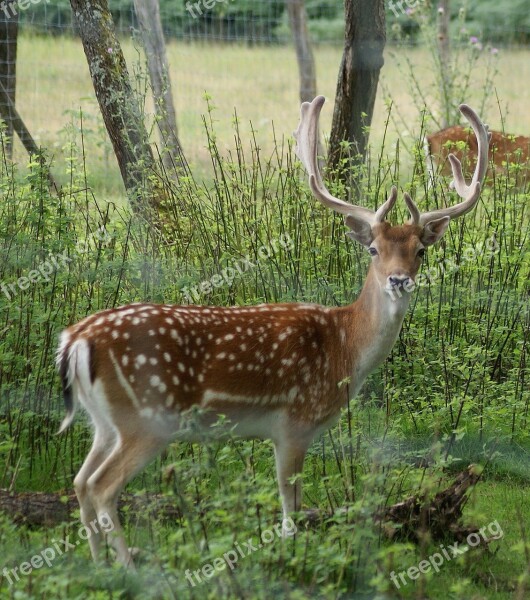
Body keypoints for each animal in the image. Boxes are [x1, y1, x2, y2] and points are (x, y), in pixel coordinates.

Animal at [56, 95, 486, 568]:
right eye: (373, 249)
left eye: (421, 251)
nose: (398, 280)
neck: (344, 348)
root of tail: (75, 340)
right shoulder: (294, 424)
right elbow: (289, 506)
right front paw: (290, 557)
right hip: (147, 418)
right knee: (102, 487)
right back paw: (130, 568)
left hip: (104, 421)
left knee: (80, 481)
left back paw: (100, 566)